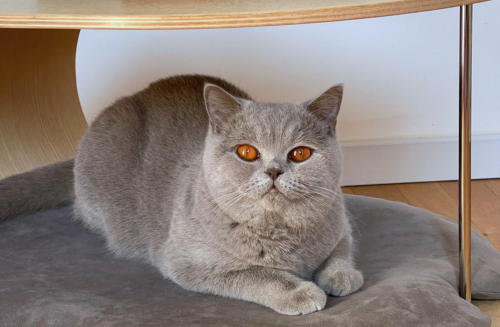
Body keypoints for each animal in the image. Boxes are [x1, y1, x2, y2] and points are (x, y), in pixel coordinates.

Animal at [0, 75, 362, 318]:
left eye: (300, 153)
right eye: (247, 152)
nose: (274, 171)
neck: (280, 231)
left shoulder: (339, 220)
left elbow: (340, 250)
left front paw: (342, 276)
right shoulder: (189, 263)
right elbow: (257, 274)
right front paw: (301, 291)